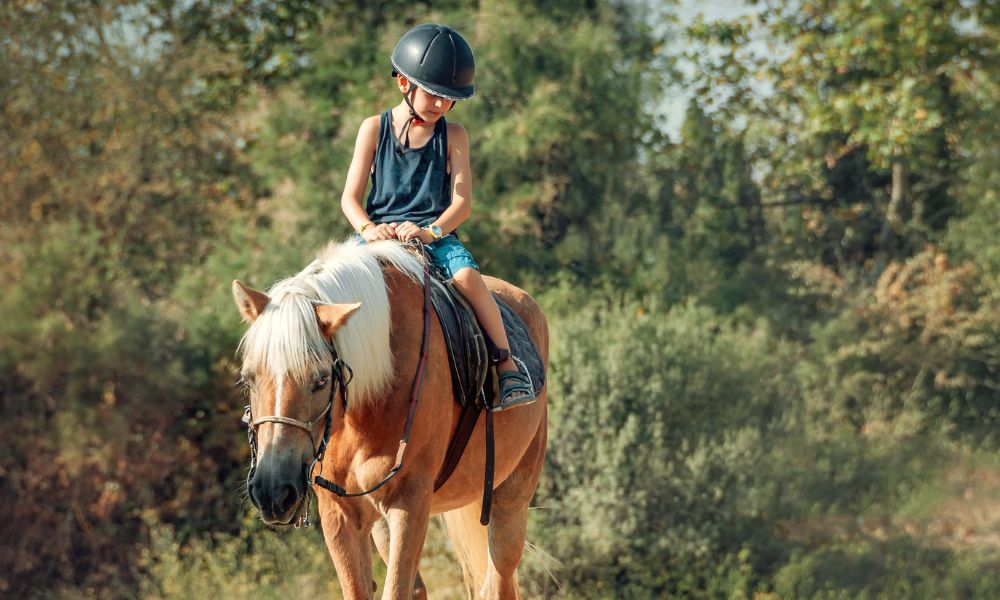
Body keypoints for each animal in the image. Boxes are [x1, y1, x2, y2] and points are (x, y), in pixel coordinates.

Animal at [231, 240, 552, 600]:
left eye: (321, 379)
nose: (273, 492)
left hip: (511, 499)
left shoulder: (409, 504)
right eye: (248, 379)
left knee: (498, 580)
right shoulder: (340, 514)